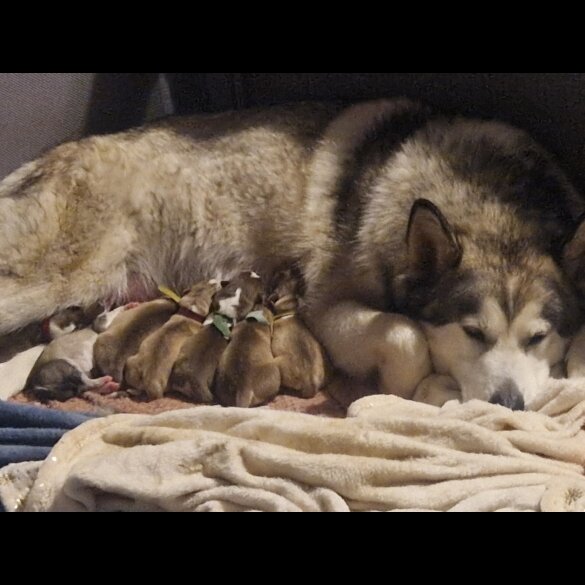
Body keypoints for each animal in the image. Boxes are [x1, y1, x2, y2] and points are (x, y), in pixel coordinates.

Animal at [1, 98, 584, 408]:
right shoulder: (323, 307)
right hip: (50, 279)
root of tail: (44, 159)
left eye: (538, 337)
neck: (488, 204)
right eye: (472, 333)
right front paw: (422, 386)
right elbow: (407, 334)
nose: (509, 404)